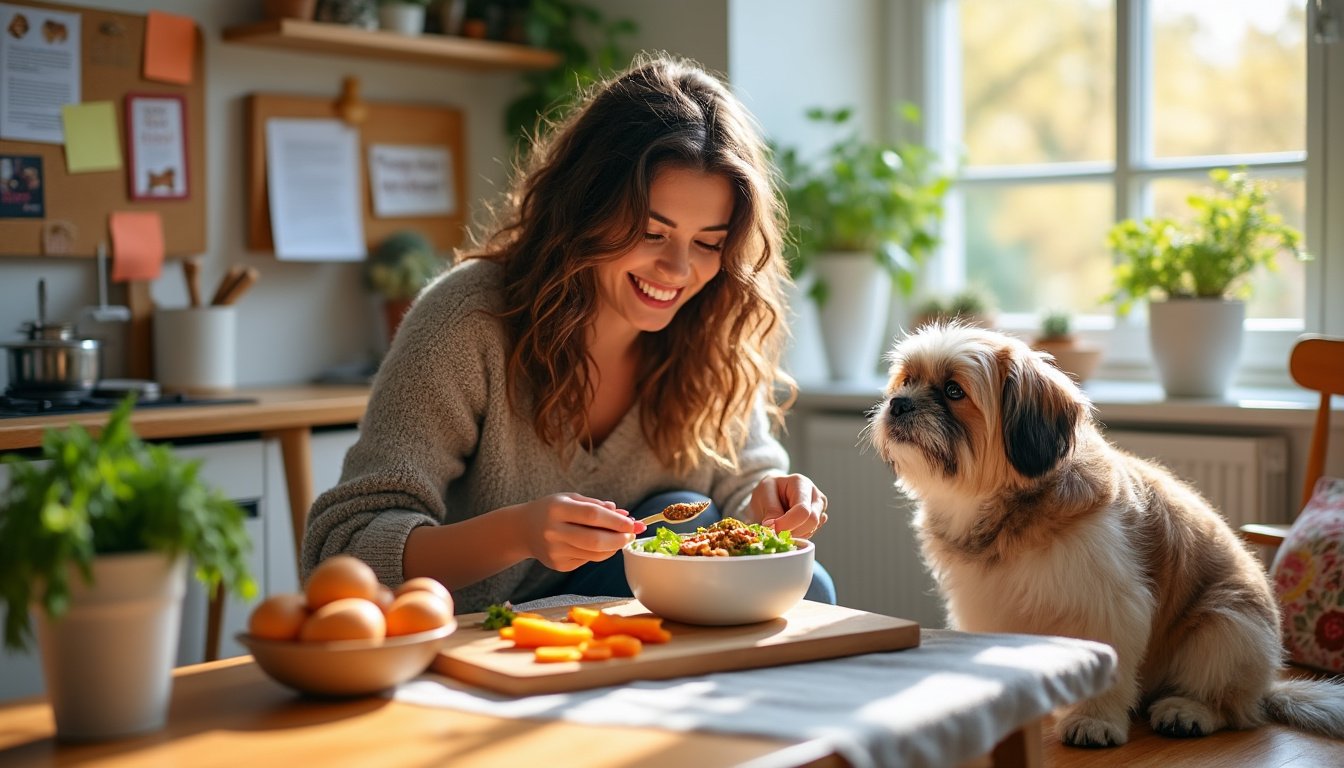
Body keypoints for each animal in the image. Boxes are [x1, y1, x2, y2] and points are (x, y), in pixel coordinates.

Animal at [865, 321, 1338, 747]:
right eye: (906, 381)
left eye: (953, 391)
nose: (898, 404)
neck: (1006, 507)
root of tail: (1268, 683)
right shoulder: (985, 605)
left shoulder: (1108, 605)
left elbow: (1107, 667)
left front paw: (1093, 720)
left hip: (1225, 626)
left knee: (1234, 707)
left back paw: (1188, 711)